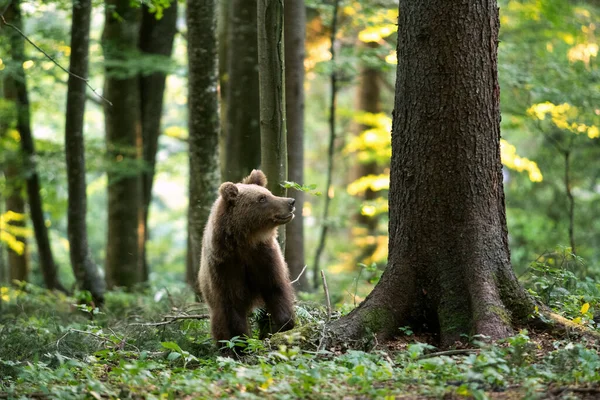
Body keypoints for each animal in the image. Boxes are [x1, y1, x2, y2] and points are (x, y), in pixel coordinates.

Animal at [199, 167, 298, 342]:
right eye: (262, 198)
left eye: (269, 192)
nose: (290, 202)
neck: (246, 241)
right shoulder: (225, 266)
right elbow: (232, 309)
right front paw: (242, 340)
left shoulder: (265, 257)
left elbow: (276, 289)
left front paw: (281, 326)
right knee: (218, 323)